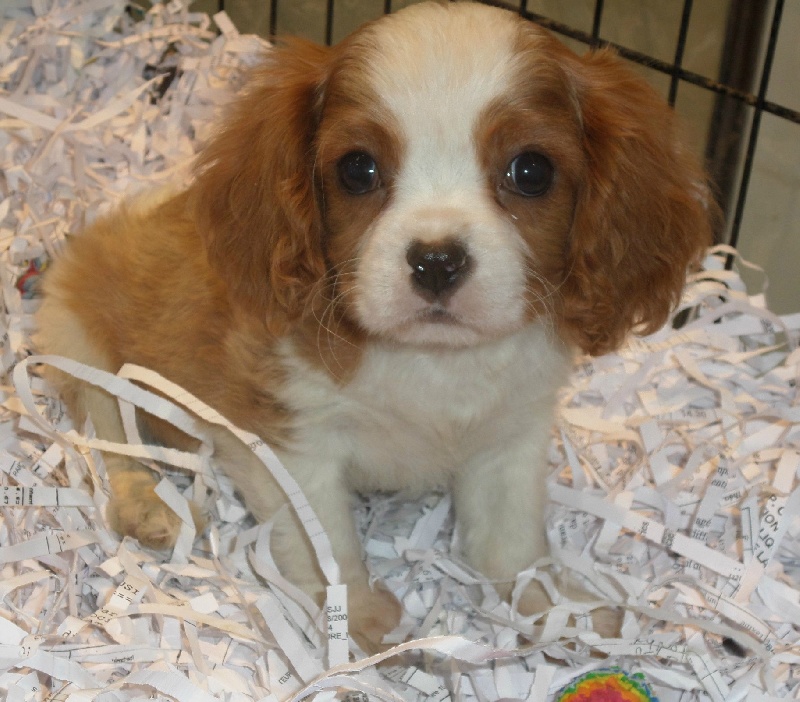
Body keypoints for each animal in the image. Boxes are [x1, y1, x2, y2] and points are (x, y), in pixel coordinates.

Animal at [37, 1, 714, 651]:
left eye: (532, 171)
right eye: (357, 169)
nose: (437, 260)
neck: (432, 359)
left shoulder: (512, 431)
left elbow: (512, 539)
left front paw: (555, 609)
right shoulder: (291, 439)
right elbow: (325, 541)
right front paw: (355, 620)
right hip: (80, 339)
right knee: (110, 439)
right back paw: (148, 506)